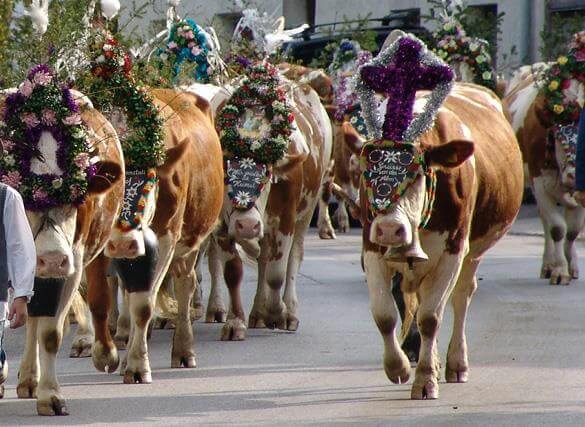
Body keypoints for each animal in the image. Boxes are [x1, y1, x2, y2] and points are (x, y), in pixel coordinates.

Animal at [3, 92, 125, 416]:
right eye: (25, 198)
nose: (53, 259)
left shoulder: (73, 266)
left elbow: (50, 334)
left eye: (76, 198)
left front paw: (51, 395)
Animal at [96, 88, 224, 382]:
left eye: (149, 179)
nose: (124, 243)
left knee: (186, 284)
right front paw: (123, 357)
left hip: (190, 242)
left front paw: (137, 366)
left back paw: (184, 351)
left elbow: (145, 305)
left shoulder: (167, 237)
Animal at [362, 83, 524, 398]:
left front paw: (425, 380)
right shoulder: (372, 248)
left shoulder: (453, 251)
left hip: (472, 254)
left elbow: (430, 318)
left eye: (417, 175)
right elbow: (384, 314)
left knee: (461, 297)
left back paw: (456, 364)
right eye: (367, 176)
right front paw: (399, 367)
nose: (390, 228)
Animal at [502, 70, 584, 286]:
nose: (573, 175)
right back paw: (548, 265)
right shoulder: (539, 182)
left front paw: (570, 265)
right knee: (546, 222)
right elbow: (557, 229)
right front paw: (559, 270)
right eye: (558, 135)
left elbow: (572, 231)